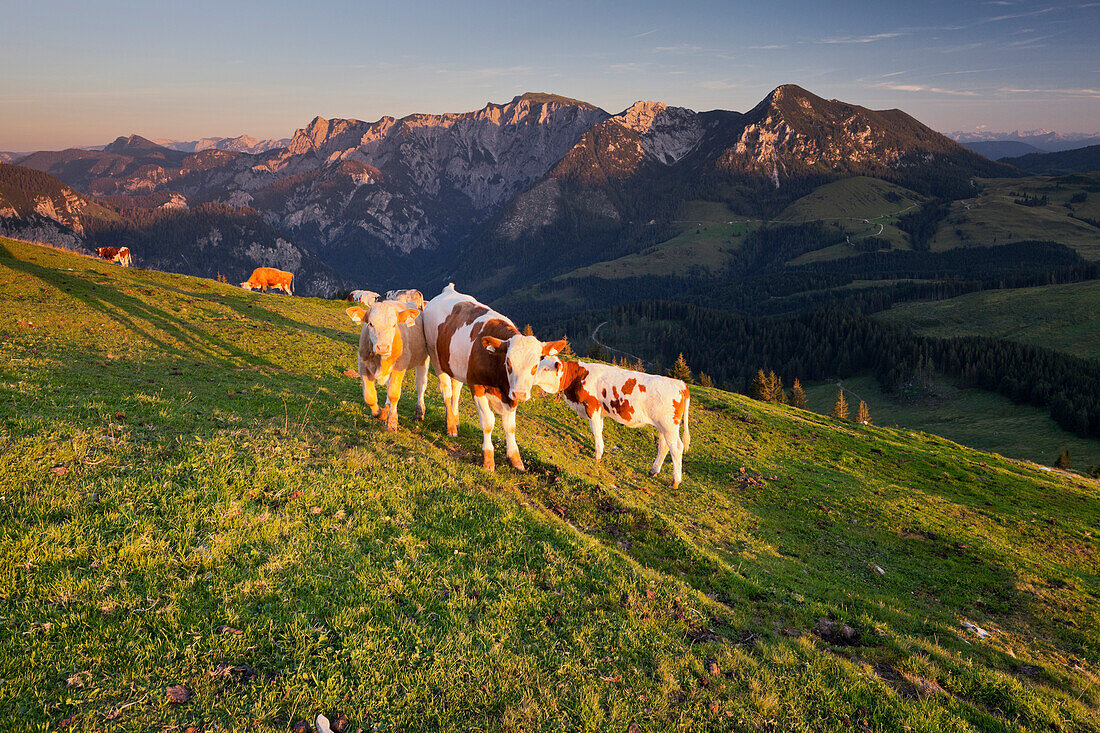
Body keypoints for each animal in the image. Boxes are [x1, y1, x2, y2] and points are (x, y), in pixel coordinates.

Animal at [345, 297, 431, 431]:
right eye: (370, 324)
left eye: (394, 324)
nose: (383, 347)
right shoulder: (363, 366)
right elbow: (369, 396)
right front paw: (381, 413)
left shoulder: (399, 366)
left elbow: (394, 394)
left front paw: (392, 422)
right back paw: (387, 408)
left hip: (423, 359)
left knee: (421, 384)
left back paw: (419, 412)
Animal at [422, 281, 567, 471]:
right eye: (508, 363)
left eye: (535, 366)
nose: (520, 394)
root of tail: (448, 290)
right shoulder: (476, 385)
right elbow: (488, 422)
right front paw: (488, 459)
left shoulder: (510, 394)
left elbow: (510, 426)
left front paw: (515, 459)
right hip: (435, 356)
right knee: (446, 391)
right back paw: (451, 426)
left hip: (455, 364)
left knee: (456, 389)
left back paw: (456, 419)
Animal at [554, 358, 690, 484]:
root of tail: (679, 383)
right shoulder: (600, 412)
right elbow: (599, 429)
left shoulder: (592, 407)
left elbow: (595, 430)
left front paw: (597, 455)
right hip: (663, 426)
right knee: (664, 446)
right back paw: (653, 471)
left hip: (669, 425)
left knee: (677, 447)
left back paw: (675, 481)